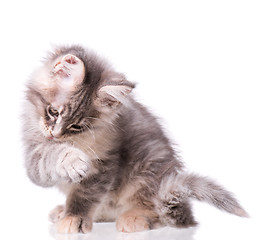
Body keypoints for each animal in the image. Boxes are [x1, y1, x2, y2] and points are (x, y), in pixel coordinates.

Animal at [21, 44, 249, 232]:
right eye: (53, 112)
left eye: (77, 126)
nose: (56, 134)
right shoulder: (33, 156)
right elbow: (50, 156)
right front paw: (72, 162)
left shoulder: (105, 163)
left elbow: (85, 195)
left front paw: (74, 217)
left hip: (147, 168)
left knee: (157, 210)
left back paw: (134, 218)